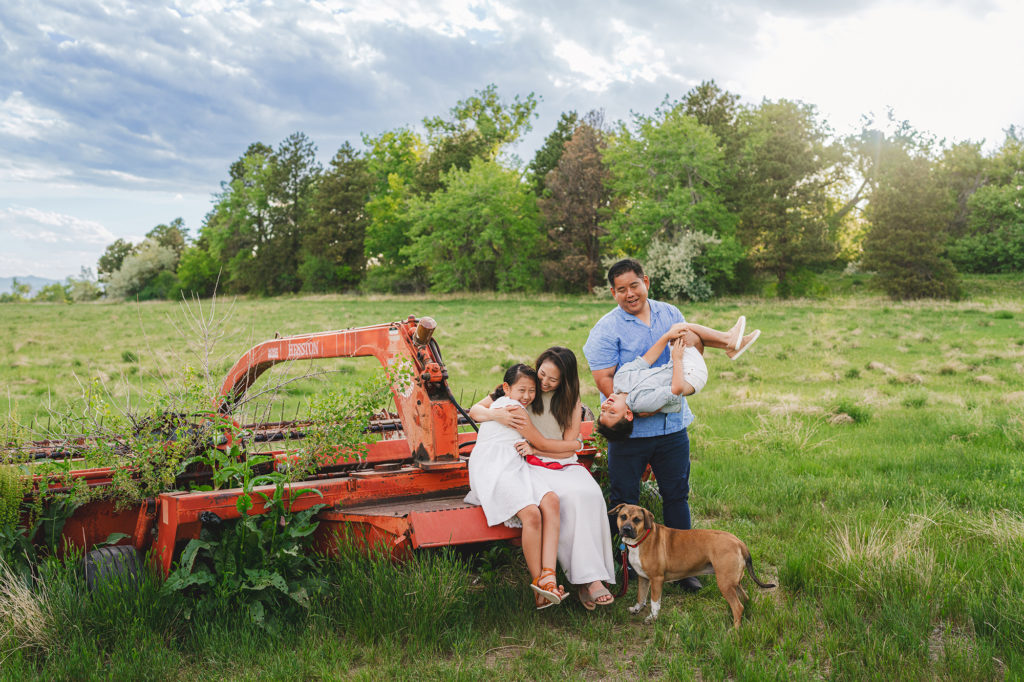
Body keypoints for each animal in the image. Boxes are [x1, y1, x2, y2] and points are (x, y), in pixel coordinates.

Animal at [610, 501, 770, 622]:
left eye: (637, 519)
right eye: (623, 516)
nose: (626, 529)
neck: (642, 539)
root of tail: (739, 542)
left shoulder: (656, 579)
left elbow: (654, 602)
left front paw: (652, 618)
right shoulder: (643, 578)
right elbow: (641, 596)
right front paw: (637, 609)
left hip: (725, 583)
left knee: (738, 607)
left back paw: (734, 632)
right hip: (733, 582)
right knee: (745, 599)